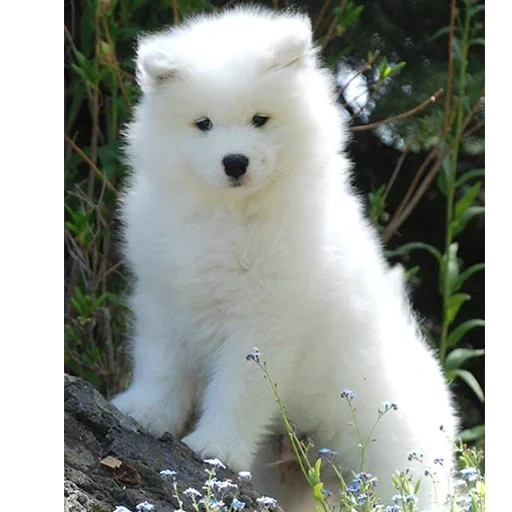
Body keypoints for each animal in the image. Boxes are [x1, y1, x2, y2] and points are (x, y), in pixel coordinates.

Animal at [112, 6, 456, 510]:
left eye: (260, 119)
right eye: (203, 124)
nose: (234, 161)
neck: (230, 216)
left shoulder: (265, 320)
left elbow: (238, 389)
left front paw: (216, 447)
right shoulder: (165, 299)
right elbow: (161, 366)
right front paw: (144, 412)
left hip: (392, 459)